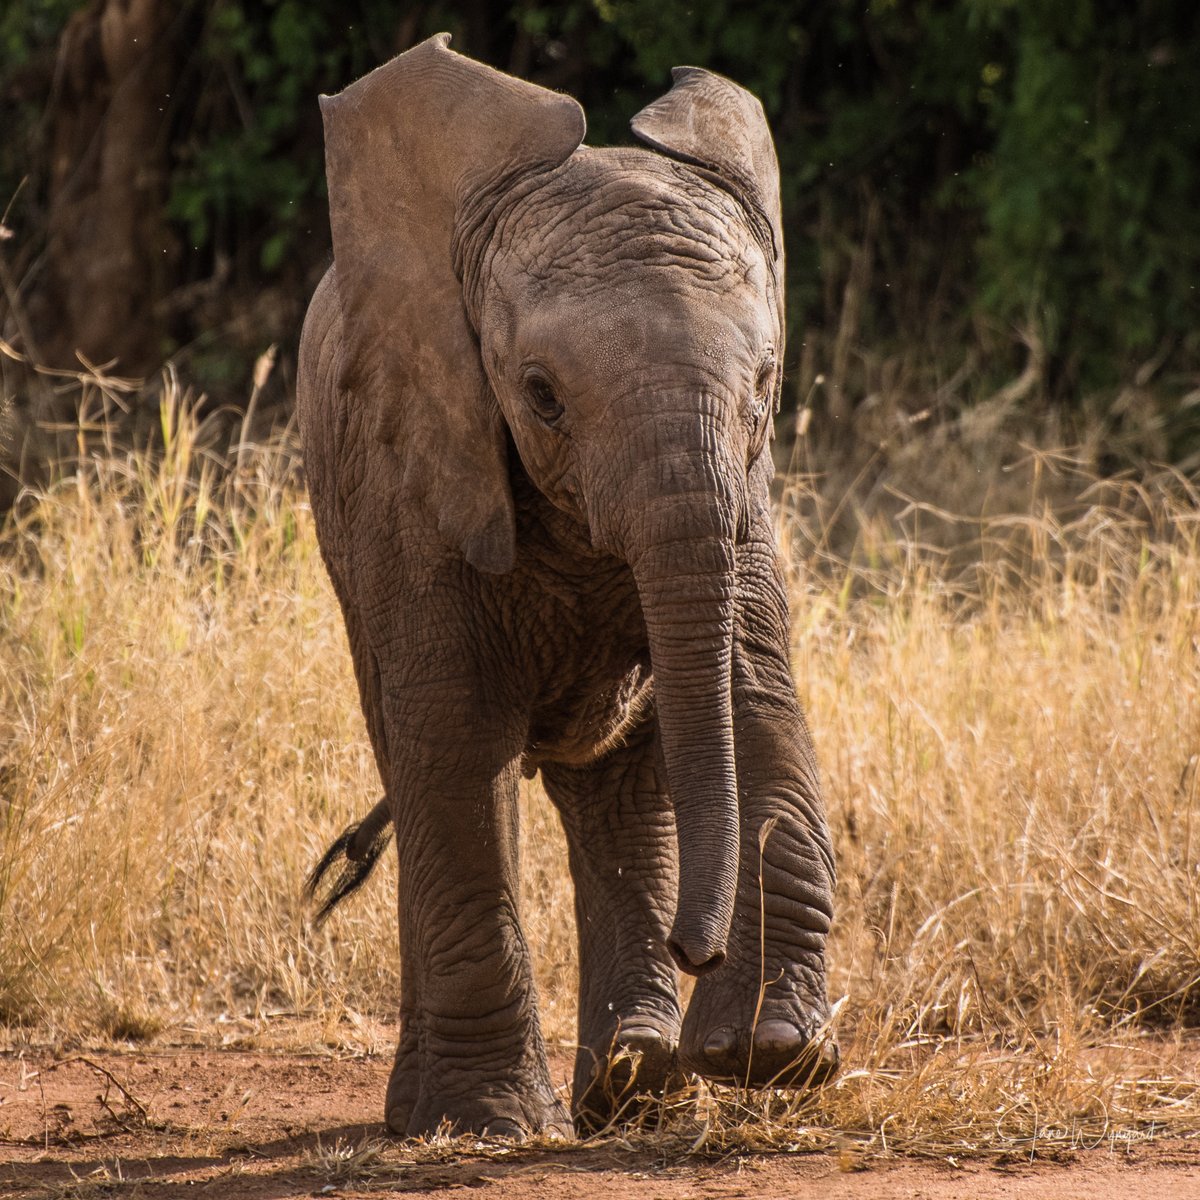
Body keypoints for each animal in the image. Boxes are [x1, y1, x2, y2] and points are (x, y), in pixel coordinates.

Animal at [297, 32, 837, 1139]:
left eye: (767, 384)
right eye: (541, 395)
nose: (698, 945)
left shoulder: (746, 497)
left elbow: (754, 691)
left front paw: (771, 1053)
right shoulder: (416, 477)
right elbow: (454, 738)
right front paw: (488, 1123)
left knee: (619, 784)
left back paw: (631, 1086)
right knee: (427, 766)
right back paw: (464, 1111)